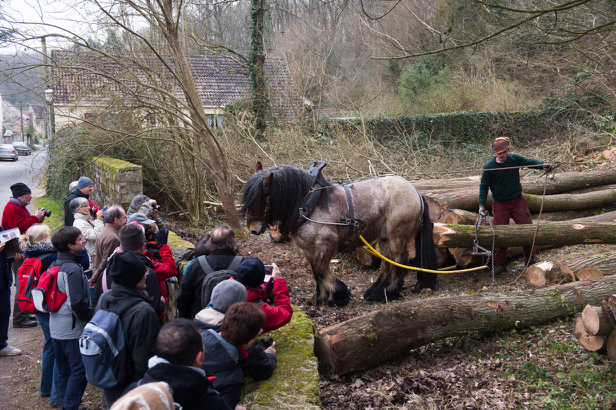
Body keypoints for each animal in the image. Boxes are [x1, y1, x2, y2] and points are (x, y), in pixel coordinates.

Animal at [241, 162, 438, 306]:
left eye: (264, 197)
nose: (253, 229)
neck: (310, 205)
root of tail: (415, 191)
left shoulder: (326, 244)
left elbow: (320, 269)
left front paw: (338, 295)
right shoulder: (309, 249)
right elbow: (316, 272)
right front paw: (320, 298)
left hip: (396, 236)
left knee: (399, 262)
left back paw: (387, 293)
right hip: (384, 238)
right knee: (387, 264)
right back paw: (376, 291)